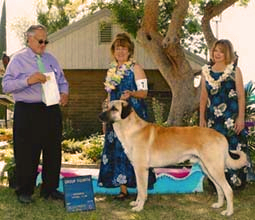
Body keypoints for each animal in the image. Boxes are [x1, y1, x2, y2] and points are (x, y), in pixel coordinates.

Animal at [99, 100, 247, 217]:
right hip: (208, 169)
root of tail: (221, 136)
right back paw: (219, 205)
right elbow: (140, 190)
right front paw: (136, 203)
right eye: (107, 106)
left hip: (214, 168)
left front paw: (139, 208)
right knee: (219, 188)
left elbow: (142, 191)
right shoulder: (138, 169)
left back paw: (228, 212)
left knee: (228, 190)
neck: (130, 128)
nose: (100, 116)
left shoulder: (141, 169)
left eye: (114, 108)